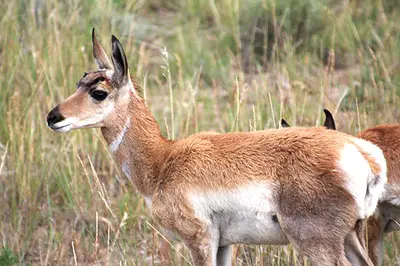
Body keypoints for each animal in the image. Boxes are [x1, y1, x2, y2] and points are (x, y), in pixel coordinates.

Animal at [47, 30, 388, 264]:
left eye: (99, 92)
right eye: (80, 81)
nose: (53, 117)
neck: (163, 161)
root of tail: (361, 153)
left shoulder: (200, 240)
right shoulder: (225, 244)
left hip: (320, 245)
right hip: (352, 237)